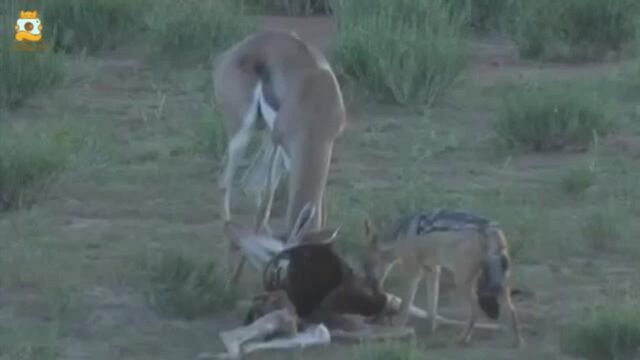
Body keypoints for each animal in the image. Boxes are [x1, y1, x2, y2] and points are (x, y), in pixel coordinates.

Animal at [364, 210, 524, 348]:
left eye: (367, 265)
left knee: (475, 312)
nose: (370, 285)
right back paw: (517, 342)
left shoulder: (414, 272)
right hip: (499, 285)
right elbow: (432, 311)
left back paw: (462, 339)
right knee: (511, 311)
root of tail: (489, 227)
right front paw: (431, 332)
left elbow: (405, 306)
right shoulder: (433, 271)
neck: (399, 238)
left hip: (461, 282)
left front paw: (398, 330)